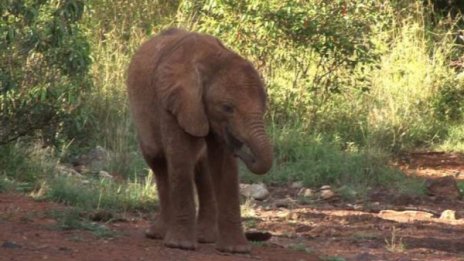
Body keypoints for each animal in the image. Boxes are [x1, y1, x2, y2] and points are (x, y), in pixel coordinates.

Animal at [127, 28, 272, 252]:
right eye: (227, 108)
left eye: (264, 105)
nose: (239, 147)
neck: (213, 58)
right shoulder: (171, 101)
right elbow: (180, 156)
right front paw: (180, 246)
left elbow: (223, 165)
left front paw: (234, 250)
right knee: (158, 161)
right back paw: (158, 234)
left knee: (202, 168)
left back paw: (206, 238)